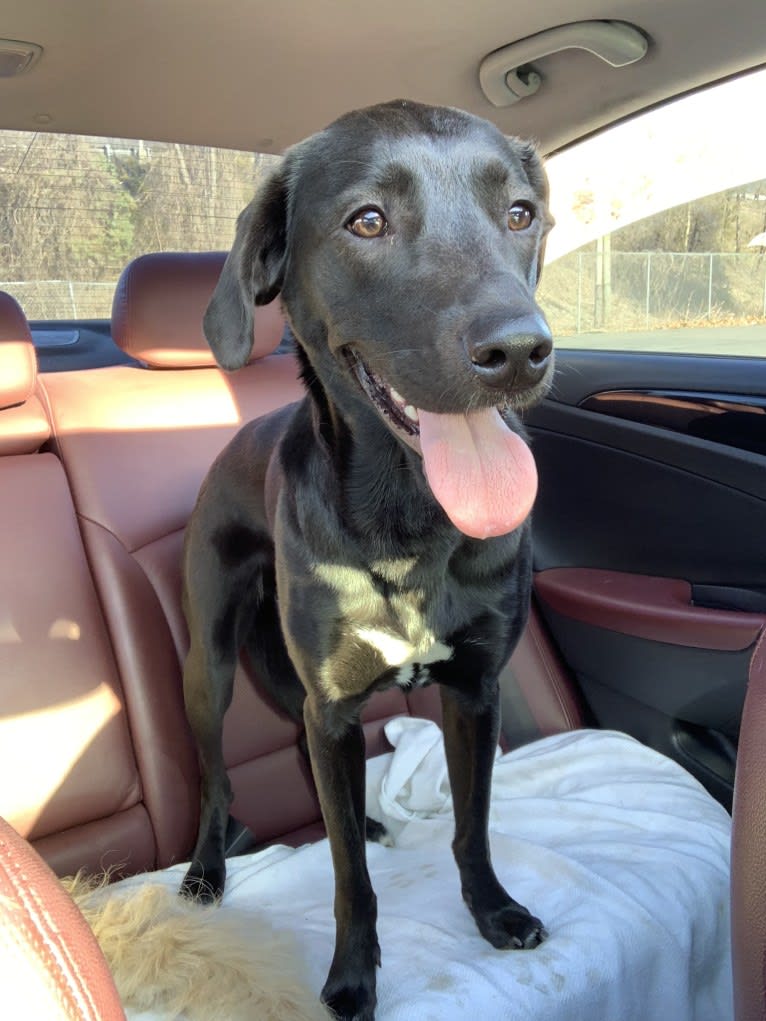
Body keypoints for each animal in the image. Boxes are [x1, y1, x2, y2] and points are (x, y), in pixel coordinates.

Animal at [184, 97, 559, 1021]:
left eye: (520, 213)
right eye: (367, 221)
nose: (520, 352)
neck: (410, 520)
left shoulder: (473, 690)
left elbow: (472, 821)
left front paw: (493, 909)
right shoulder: (334, 705)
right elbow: (349, 875)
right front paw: (353, 973)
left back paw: (370, 819)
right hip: (211, 666)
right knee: (219, 780)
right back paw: (206, 870)